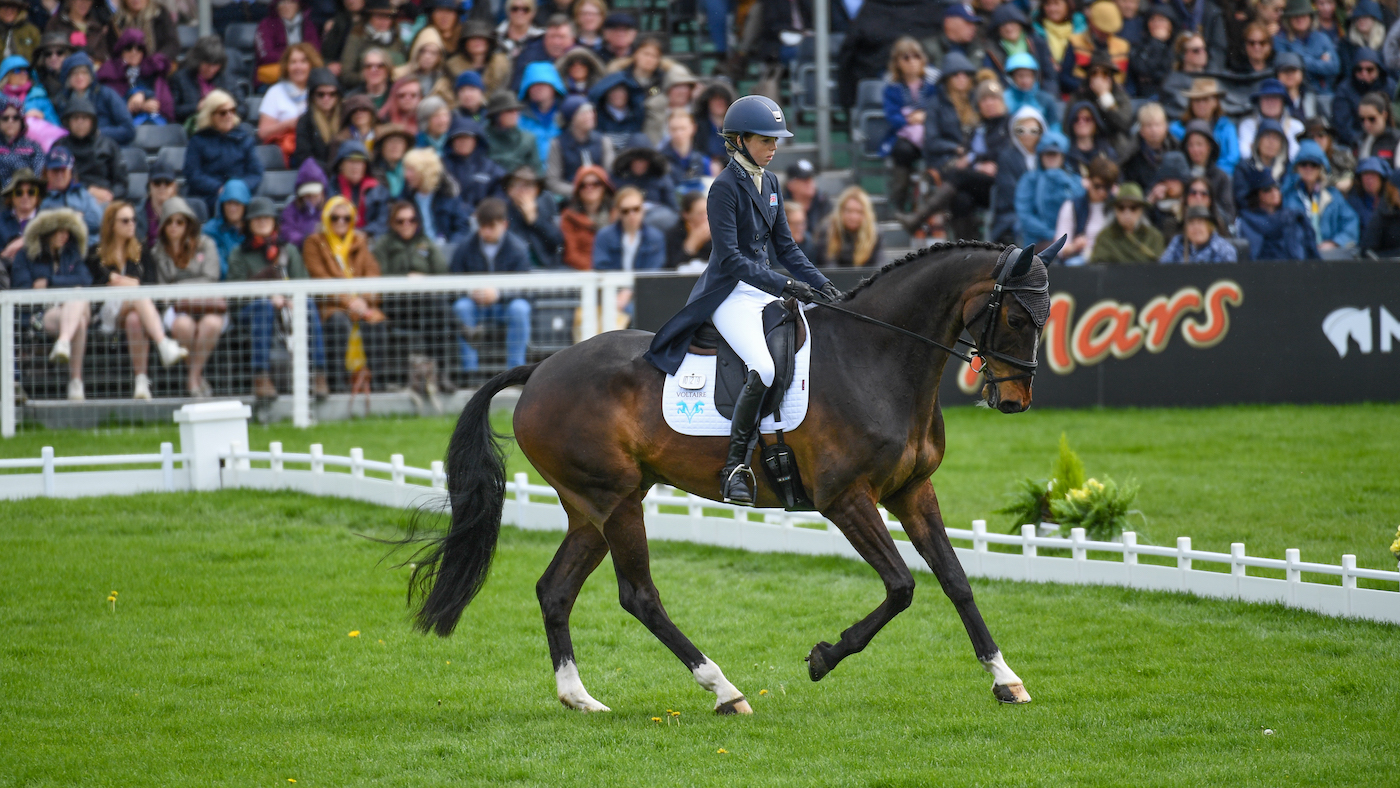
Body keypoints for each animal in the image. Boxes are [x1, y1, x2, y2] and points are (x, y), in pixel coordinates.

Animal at [404, 239, 1055, 714]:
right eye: (1016, 315)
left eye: (1044, 316)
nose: (1016, 400)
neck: (877, 358)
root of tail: (539, 369)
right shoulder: (846, 499)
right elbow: (901, 586)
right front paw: (824, 657)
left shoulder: (912, 491)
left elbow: (956, 580)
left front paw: (1006, 680)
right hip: (615, 503)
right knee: (639, 595)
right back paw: (724, 690)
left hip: (595, 507)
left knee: (555, 589)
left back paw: (580, 698)